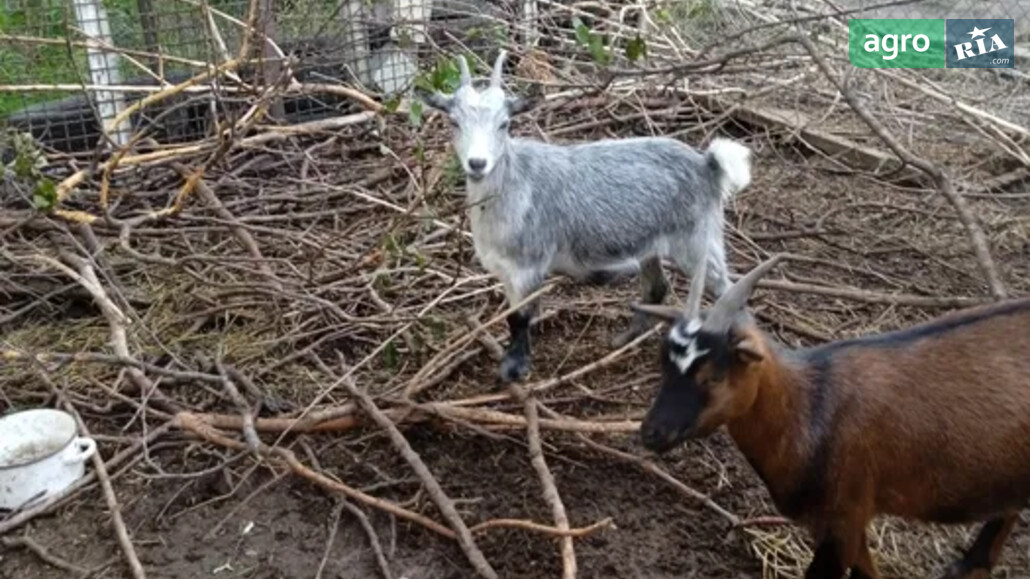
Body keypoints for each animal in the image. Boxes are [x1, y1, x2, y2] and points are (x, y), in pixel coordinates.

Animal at [419, 49, 753, 383]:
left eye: (504, 124)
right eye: (453, 121)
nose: (477, 163)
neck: (513, 185)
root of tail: (707, 165)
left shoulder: (528, 266)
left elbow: (521, 318)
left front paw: (515, 369)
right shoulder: (505, 271)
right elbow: (512, 317)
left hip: (697, 241)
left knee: (728, 292)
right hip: (651, 246)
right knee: (656, 287)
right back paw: (624, 340)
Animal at [632, 253, 1030, 578]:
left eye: (713, 376)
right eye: (664, 365)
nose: (651, 432)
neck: (809, 407)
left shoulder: (843, 517)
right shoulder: (841, 524)